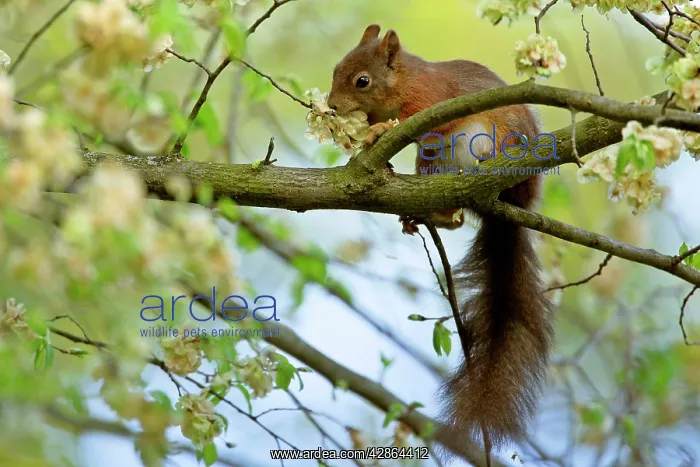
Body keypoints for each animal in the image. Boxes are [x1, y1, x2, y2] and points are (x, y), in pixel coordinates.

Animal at [328, 24, 554, 462]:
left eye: (362, 81)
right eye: (335, 70)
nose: (330, 106)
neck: (405, 81)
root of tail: (514, 206)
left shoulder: (434, 100)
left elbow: (412, 119)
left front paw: (379, 130)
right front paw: (366, 139)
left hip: (484, 145)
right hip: (432, 164)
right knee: (454, 218)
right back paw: (428, 216)